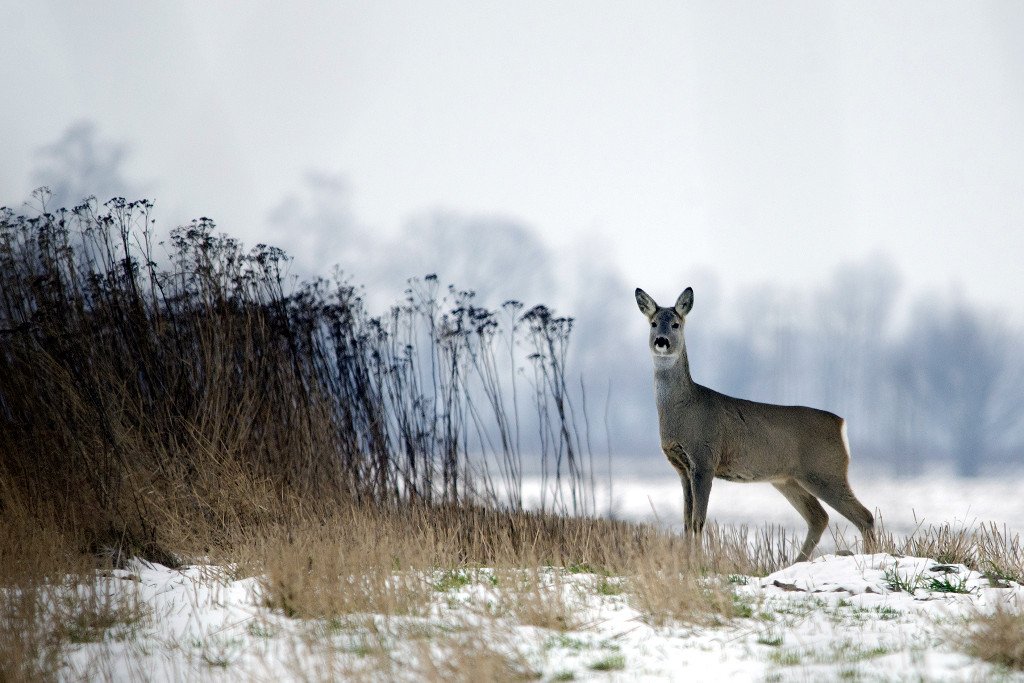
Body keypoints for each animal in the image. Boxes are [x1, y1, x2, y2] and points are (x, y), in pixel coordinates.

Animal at [634, 286, 876, 561]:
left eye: (676, 324)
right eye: (653, 323)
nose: (661, 341)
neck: (683, 409)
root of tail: (841, 425)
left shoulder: (705, 459)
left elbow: (698, 520)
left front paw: (698, 562)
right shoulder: (681, 467)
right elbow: (686, 521)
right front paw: (686, 560)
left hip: (826, 471)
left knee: (864, 515)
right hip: (788, 479)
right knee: (819, 517)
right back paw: (795, 563)